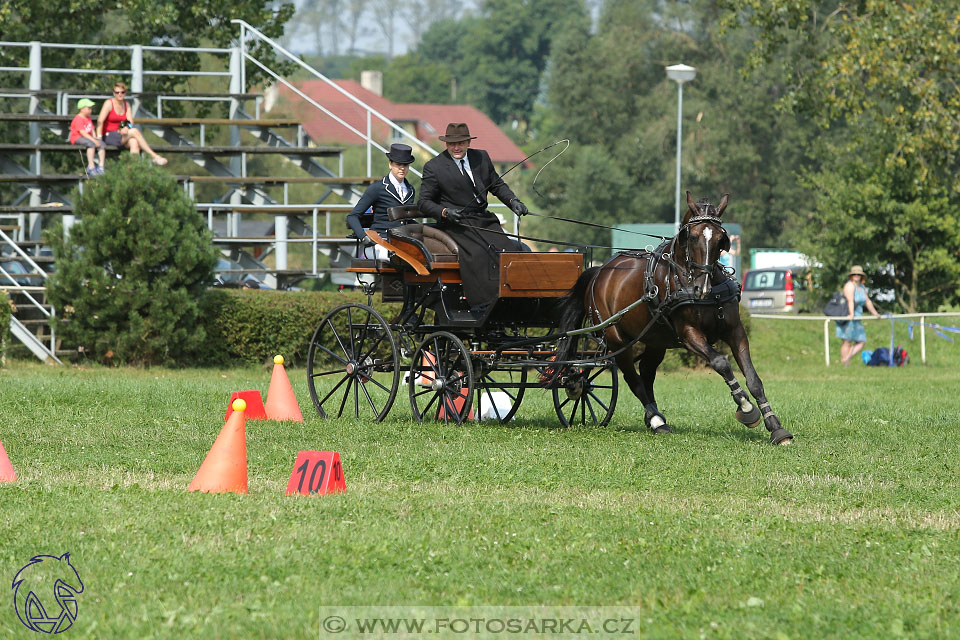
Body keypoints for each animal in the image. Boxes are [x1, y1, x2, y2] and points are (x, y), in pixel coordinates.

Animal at [560, 192, 792, 448]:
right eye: (692, 237)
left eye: (720, 239)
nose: (702, 288)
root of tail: (600, 272)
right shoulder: (689, 334)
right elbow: (721, 362)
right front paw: (746, 408)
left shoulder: (736, 331)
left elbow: (753, 378)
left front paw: (775, 427)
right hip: (616, 339)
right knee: (633, 378)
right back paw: (656, 421)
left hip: (656, 339)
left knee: (646, 372)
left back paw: (654, 417)